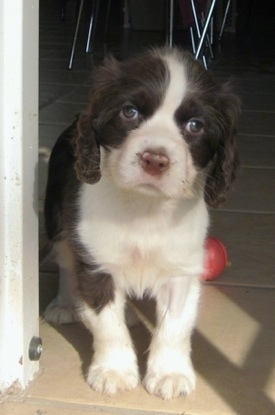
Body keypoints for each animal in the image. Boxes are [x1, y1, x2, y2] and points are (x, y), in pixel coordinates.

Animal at [44, 47, 240, 402]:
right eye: (130, 112)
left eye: (195, 125)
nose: (155, 160)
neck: (145, 208)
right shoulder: (98, 265)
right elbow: (107, 325)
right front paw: (114, 370)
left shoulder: (181, 269)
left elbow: (174, 327)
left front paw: (170, 374)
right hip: (57, 221)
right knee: (65, 262)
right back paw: (65, 303)